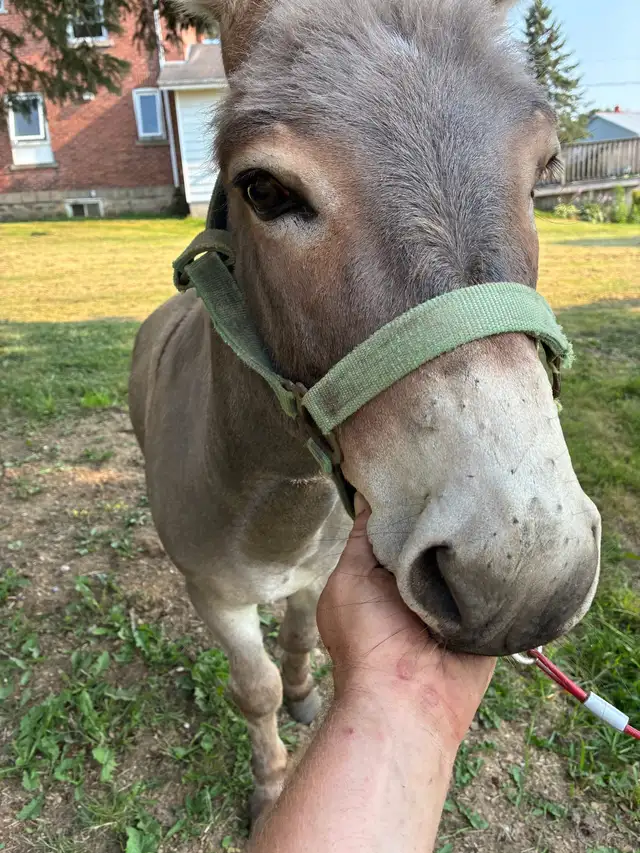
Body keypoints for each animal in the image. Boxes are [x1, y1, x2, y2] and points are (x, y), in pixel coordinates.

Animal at [129, 0, 601, 818]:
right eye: (263, 190)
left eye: (544, 167)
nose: (523, 579)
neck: (274, 506)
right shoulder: (213, 595)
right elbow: (252, 689)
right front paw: (271, 783)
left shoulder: (315, 577)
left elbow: (296, 645)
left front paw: (305, 699)